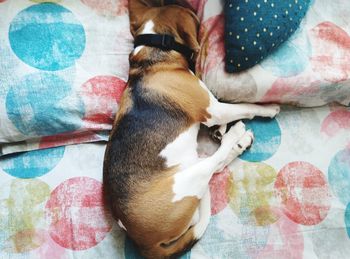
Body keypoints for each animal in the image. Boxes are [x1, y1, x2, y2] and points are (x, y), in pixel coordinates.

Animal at [103, 1, 278, 258]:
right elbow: (244, 107)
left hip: (191, 165)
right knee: (215, 162)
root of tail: (145, 244)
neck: (155, 54)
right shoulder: (214, 109)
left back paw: (238, 142)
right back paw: (236, 137)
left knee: (216, 167)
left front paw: (222, 130)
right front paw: (268, 108)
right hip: (188, 176)